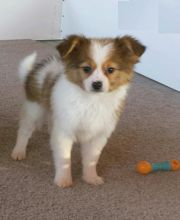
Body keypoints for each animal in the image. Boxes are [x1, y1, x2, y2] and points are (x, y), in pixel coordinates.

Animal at [11, 34, 146, 187]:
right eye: (86, 68)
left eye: (111, 70)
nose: (97, 84)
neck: (91, 101)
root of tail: (35, 70)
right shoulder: (65, 131)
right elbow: (64, 158)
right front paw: (63, 180)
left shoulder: (98, 135)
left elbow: (91, 160)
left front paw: (90, 177)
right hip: (34, 109)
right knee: (24, 131)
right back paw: (18, 151)